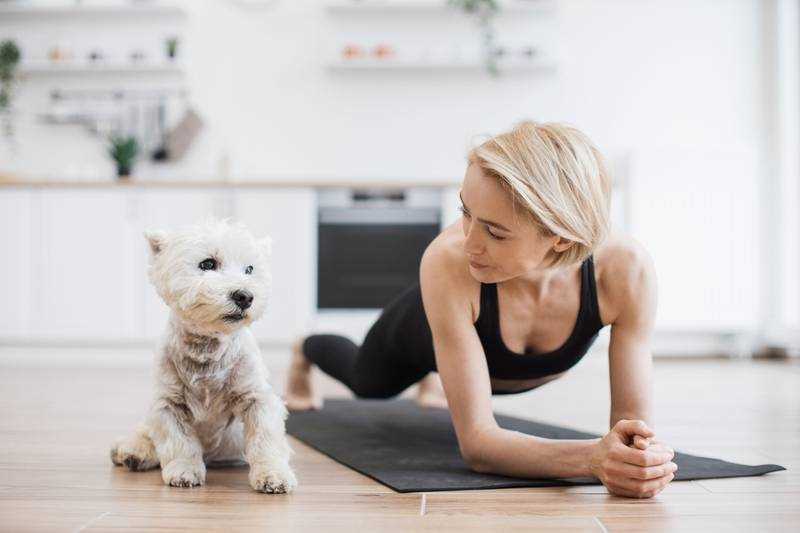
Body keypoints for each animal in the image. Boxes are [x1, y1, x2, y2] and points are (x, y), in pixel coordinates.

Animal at [111, 218, 298, 492]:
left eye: (250, 269)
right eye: (208, 264)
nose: (245, 296)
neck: (208, 345)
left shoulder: (256, 397)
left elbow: (265, 439)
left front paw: (273, 475)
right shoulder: (168, 403)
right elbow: (179, 441)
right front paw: (184, 472)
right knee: (145, 431)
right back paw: (132, 452)